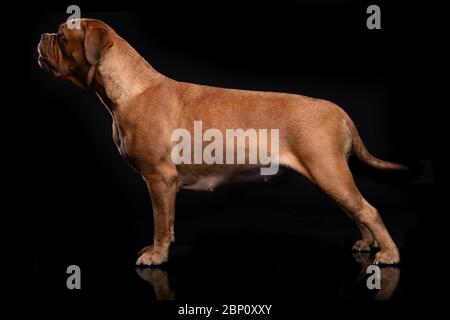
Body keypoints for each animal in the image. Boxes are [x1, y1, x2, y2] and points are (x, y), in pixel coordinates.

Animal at [37, 18, 406, 266]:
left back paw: (388, 252)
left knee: (368, 210)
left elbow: (162, 223)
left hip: (328, 173)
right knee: (356, 211)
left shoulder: (159, 180)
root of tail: (338, 110)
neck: (129, 88)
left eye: (62, 36)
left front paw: (157, 254)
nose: (42, 35)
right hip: (329, 177)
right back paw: (367, 243)